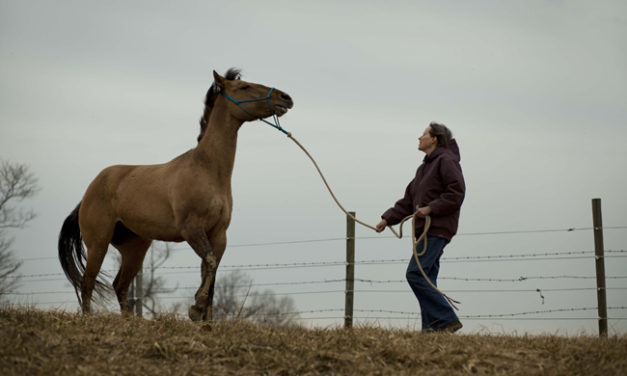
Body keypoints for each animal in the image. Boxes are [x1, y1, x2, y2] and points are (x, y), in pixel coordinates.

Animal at [59, 68, 294, 320]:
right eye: (244, 87)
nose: (285, 98)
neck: (207, 170)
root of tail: (89, 191)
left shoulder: (218, 234)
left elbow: (212, 272)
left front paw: (205, 319)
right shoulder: (192, 229)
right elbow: (210, 263)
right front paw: (196, 308)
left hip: (135, 248)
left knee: (119, 284)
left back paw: (130, 320)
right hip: (98, 243)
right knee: (87, 283)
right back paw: (89, 317)